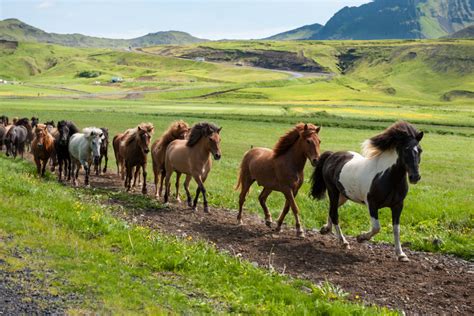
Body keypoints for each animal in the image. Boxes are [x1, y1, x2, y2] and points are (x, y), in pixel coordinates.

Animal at [310, 121, 424, 262]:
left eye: (420, 150)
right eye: (405, 150)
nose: (415, 177)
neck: (387, 177)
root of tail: (332, 155)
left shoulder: (398, 205)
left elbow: (396, 229)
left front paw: (401, 255)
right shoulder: (372, 204)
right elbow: (376, 227)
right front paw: (360, 238)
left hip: (343, 196)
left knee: (332, 210)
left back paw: (325, 229)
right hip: (333, 192)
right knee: (334, 213)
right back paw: (343, 242)